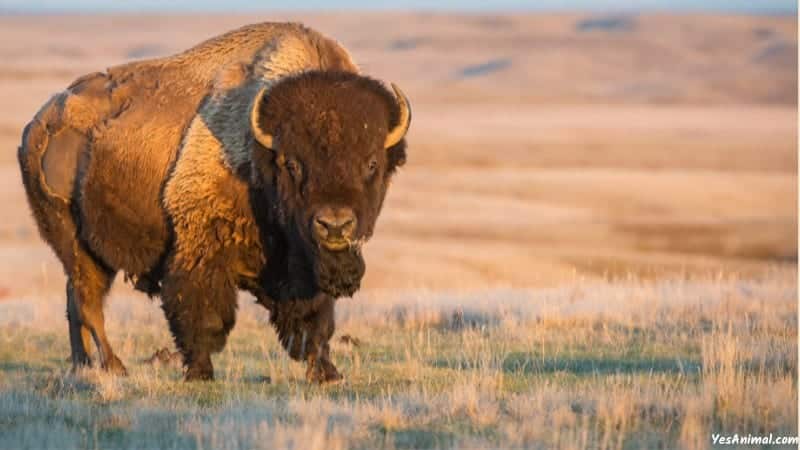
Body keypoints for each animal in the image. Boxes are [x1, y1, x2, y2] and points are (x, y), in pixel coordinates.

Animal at [15, 22, 410, 382]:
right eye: (292, 163)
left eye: (372, 163)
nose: (334, 225)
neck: (259, 155)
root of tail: (38, 125)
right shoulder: (200, 249)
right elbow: (203, 314)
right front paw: (200, 373)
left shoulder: (302, 268)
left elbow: (313, 320)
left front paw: (327, 373)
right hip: (74, 243)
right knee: (88, 302)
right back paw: (114, 367)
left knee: (75, 302)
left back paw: (82, 366)